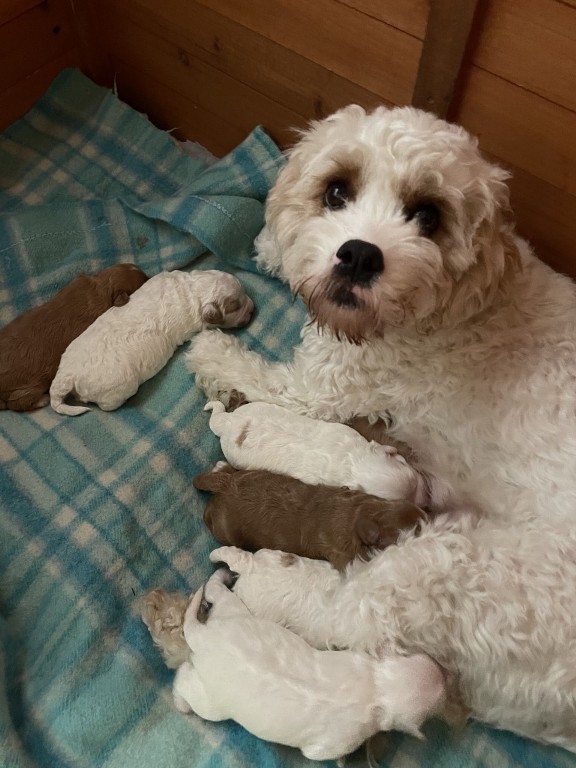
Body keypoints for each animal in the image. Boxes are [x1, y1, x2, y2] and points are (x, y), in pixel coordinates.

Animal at [0, 264, 148, 412]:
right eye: (143, 282)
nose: (150, 276)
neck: (101, 288)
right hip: (27, 387)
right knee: (17, 403)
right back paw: (42, 400)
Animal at [169, 568, 448, 760]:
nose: (447, 673)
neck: (378, 686)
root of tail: (204, 637)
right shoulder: (336, 742)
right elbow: (315, 753)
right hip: (211, 700)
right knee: (186, 682)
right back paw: (180, 703)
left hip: (234, 613)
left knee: (217, 593)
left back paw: (220, 576)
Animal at [192, 462, 428, 568]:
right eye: (415, 530)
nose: (429, 515)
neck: (358, 513)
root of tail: (225, 485)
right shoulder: (344, 557)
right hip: (227, 531)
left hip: (245, 474)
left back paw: (222, 466)